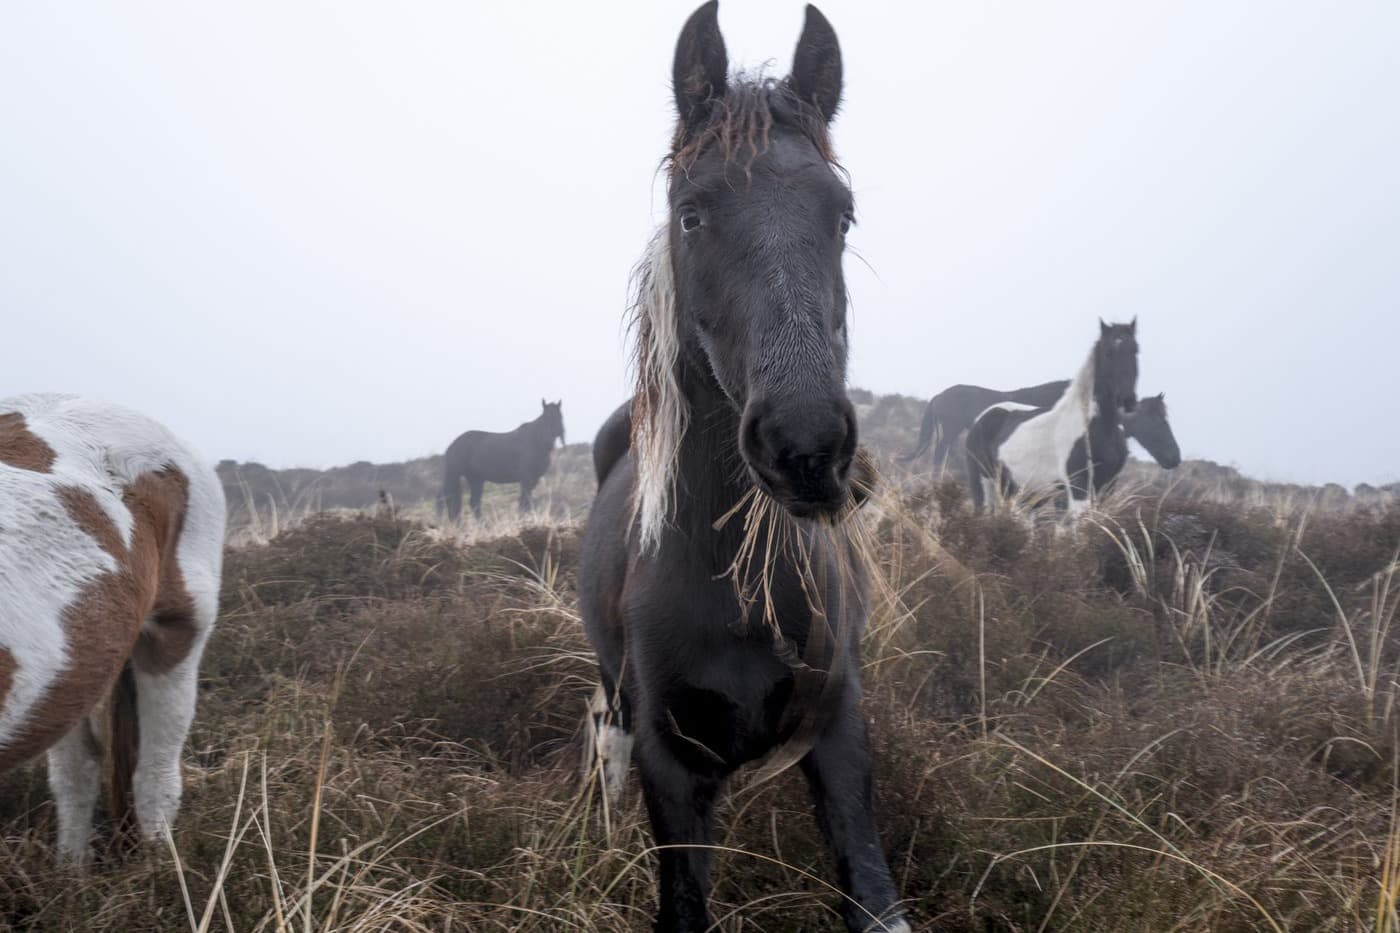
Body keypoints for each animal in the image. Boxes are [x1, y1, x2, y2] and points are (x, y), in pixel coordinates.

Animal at [578, 5, 910, 931]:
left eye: (843, 215)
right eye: (692, 213)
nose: (806, 447)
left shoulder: (839, 730)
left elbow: (871, 892)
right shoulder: (670, 764)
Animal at [965, 320, 1140, 512]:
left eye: (1135, 350)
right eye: (1108, 352)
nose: (1127, 400)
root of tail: (980, 420)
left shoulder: (1108, 486)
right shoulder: (1077, 488)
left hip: (1023, 494)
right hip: (985, 487)